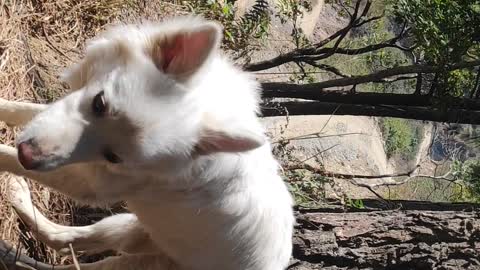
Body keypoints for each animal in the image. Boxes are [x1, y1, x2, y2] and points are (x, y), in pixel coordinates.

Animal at [0, 15, 292, 268]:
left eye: (113, 157)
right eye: (99, 103)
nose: (28, 155)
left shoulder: (90, 184)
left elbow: (8, 155)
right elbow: (24, 110)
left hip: (134, 258)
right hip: (127, 228)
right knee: (66, 239)